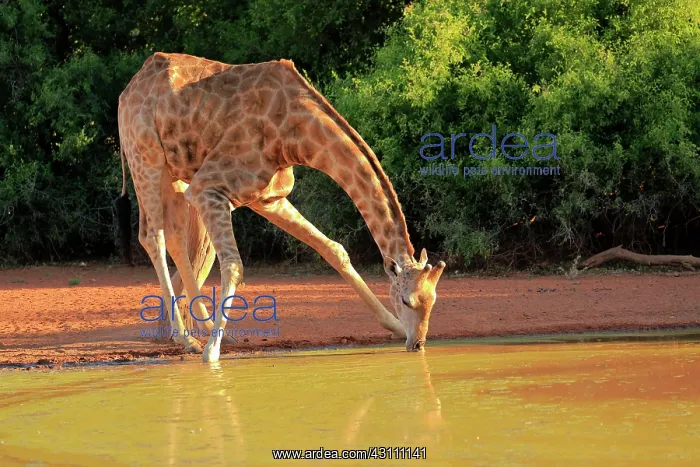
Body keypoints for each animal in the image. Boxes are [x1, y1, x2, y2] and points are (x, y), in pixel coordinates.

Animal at [117, 52, 446, 362]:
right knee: (153, 236)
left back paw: (204, 333)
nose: (418, 344)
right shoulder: (208, 187)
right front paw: (212, 353)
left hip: (172, 170)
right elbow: (234, 265)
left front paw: (396, 327)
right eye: (406, 301)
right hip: (146, 158)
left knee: (173, 234)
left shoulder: (268, 198)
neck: (294, 135)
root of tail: (126, 92)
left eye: (433, 300)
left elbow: (334, 249)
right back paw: (188, 339)